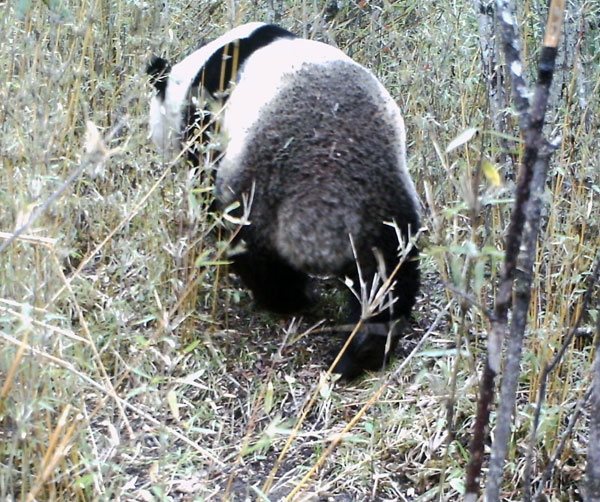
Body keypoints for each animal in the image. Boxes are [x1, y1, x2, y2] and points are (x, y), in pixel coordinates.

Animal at [149, 21, 422, 378]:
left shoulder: (206, 119)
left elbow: (205, 183)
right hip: (383, 206)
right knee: (389, 278)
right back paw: (362, 353)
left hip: (260, 195)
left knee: (257, 258)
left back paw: (293, 301)